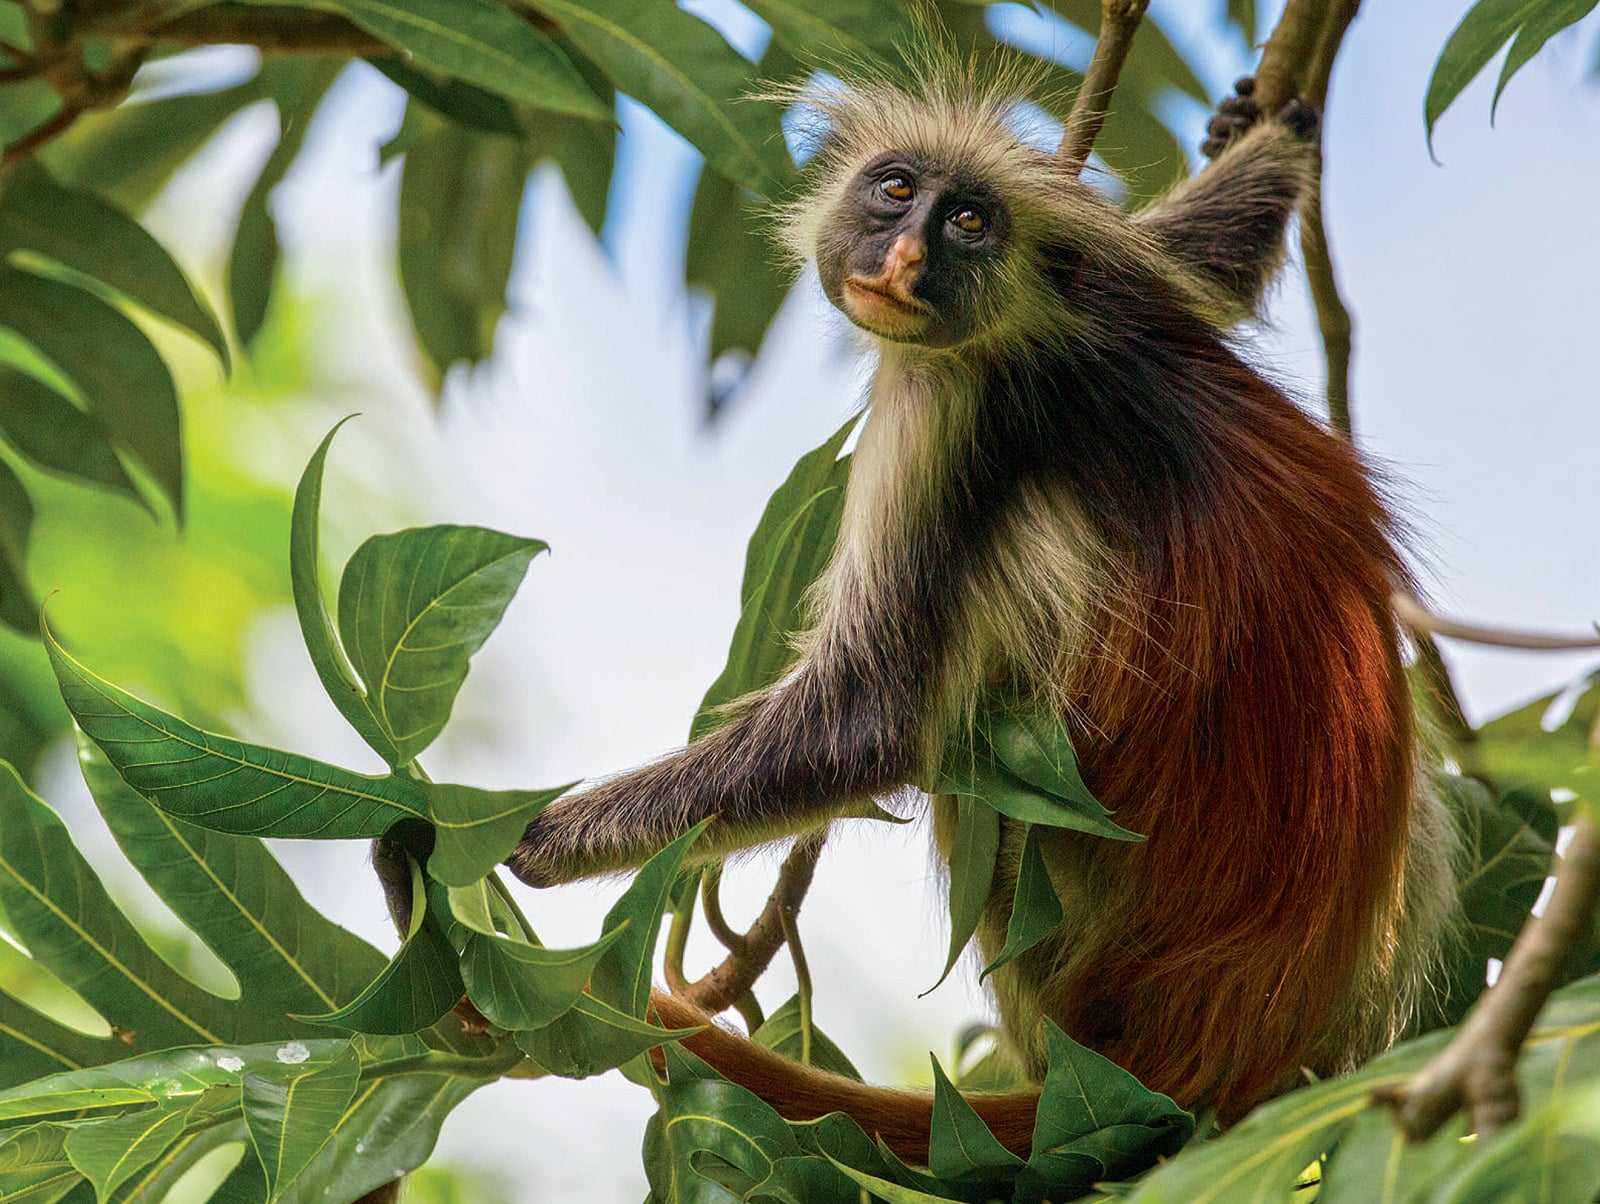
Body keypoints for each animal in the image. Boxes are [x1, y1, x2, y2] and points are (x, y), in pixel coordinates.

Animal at [505, 63, 1459, 1146]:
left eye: (966, 222)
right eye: (894, 190)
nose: (907, 254)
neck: (1040, 322)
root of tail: (1211, 1050)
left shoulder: (944, 398)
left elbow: (864, 723)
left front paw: (535, 841)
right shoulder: (1111, 278)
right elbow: (1194, 266)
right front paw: (1269, 143)